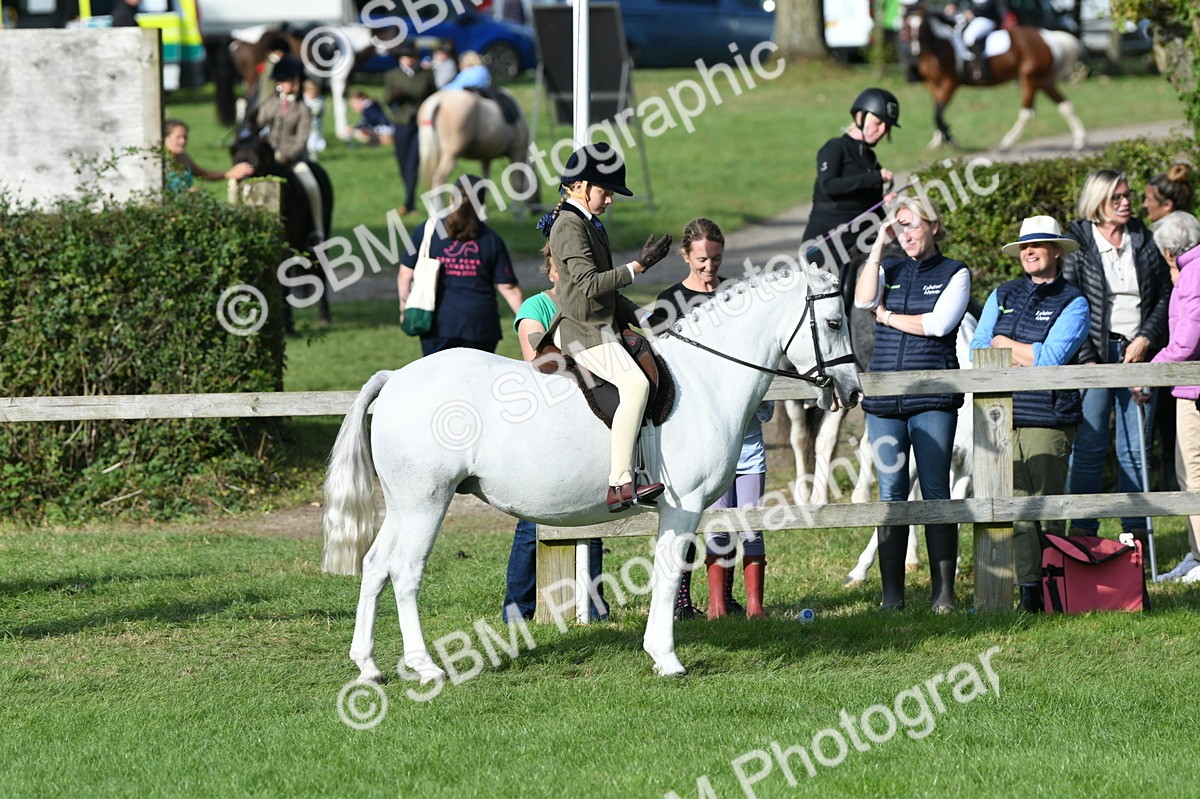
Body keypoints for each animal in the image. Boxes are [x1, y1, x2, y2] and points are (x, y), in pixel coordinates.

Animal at [230, 134, 335, 327]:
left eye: (258, 163)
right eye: (237, 161)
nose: (246, 183)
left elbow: (283, 283)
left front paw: (288, 325)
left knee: (320, 271)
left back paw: (324, 317)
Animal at [320, 263, 862, 681]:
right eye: (835, 321)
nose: (854, 392)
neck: (706, 378)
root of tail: (396, 379)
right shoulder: (683, 505)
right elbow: (669, 571)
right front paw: (666, 658)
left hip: (403, 505)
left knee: (374, 566)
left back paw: (368, 665)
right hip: (426, 502)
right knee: (405, 571)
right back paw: (425, 666)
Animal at [903, 4, 1087, 151]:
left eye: (922, 25)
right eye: (907, 25)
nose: (914, 51)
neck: (939, 47)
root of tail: (1048, 37)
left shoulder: (951, 82)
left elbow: (938, 113)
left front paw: (950, 139)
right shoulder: (932, 83)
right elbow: (937, 110)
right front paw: (938, 141)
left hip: (1030, 79)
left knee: (1027, 113)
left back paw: (1006, 143)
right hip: (1043, 80)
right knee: (1065, 105)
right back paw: (1080, 140)